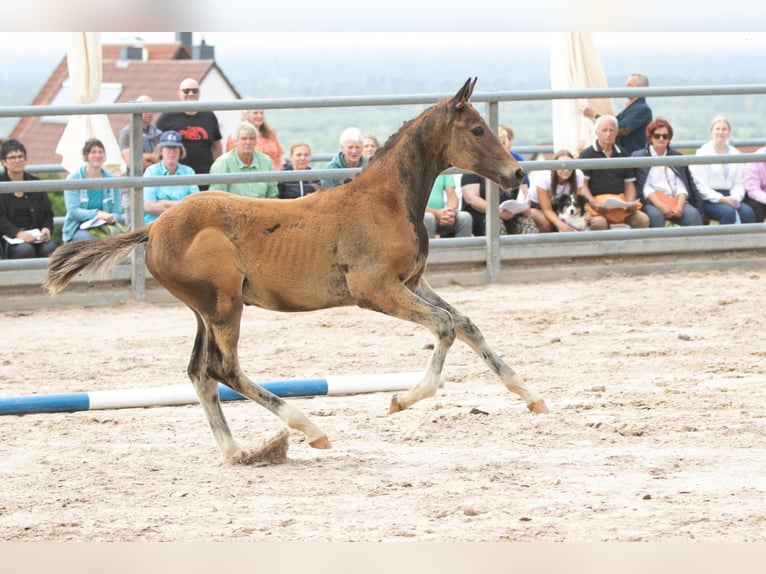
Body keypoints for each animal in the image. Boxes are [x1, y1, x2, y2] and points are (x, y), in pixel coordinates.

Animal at [45, 79, 552, 466]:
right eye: (477, 129)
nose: (517, 175)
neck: (386, 200)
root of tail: (152, 230)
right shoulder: (375, 290)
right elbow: (445, 326)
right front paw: (400, 400)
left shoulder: (411, 282)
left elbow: (465, 324)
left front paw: (531, 395)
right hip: (225, 305)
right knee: (224, 368)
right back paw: (308, 428)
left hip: (204, 310)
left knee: (200, 373)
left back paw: (236, 452)